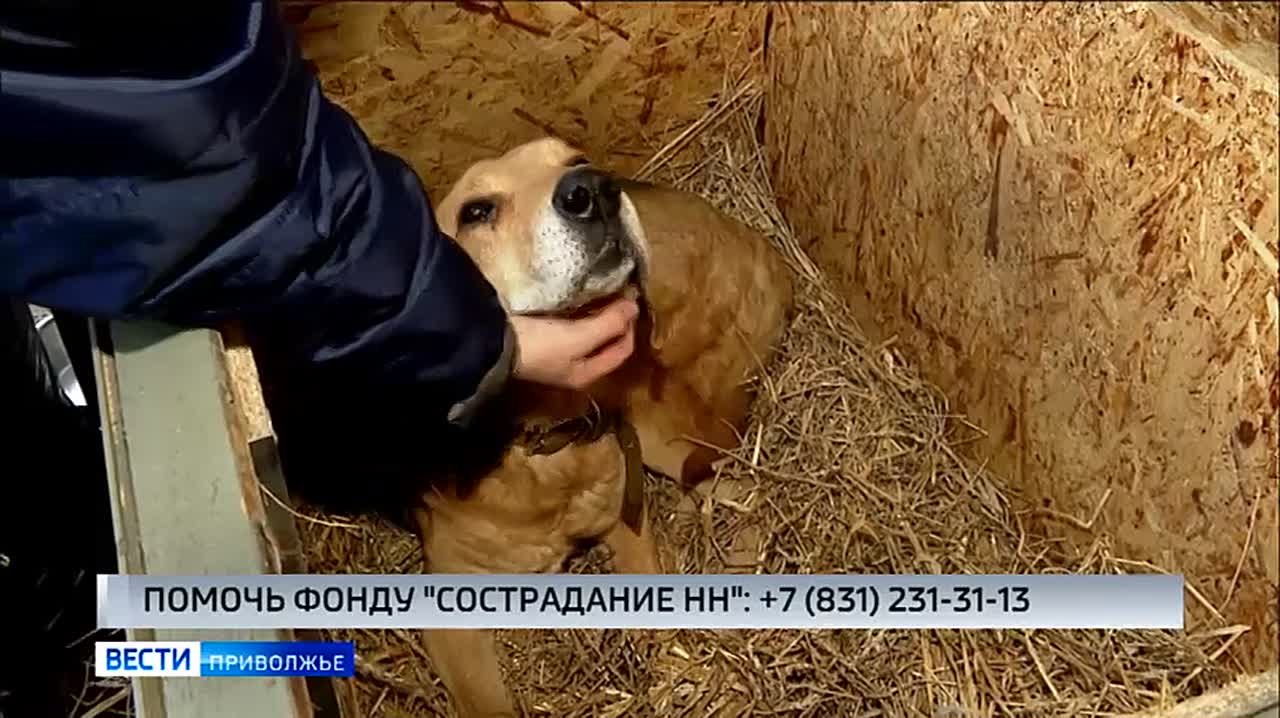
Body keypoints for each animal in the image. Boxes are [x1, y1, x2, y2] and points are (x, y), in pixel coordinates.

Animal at [414, 136, 794, 716]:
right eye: (476, 212)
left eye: (573, 159)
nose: (592, 188)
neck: (544, 444)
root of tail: (760, 248)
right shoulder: (448, 619)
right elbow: (488, 702)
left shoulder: (626, 523)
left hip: (664, 433)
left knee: (729, 476)